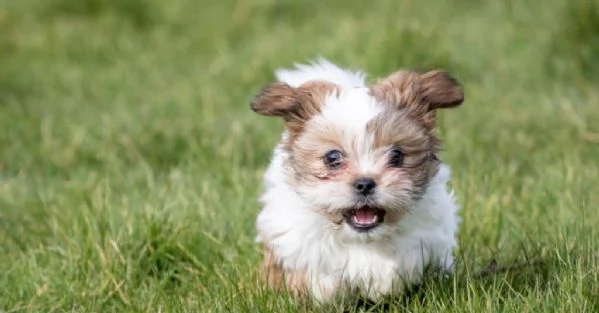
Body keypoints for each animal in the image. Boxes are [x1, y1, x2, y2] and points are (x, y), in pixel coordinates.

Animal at [248, 58, 464, 302]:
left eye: (396, 155)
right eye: (332, 157)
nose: (365, 184)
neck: (362, 239)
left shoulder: (429, 235)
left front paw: (384, 280)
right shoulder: (290, 238)